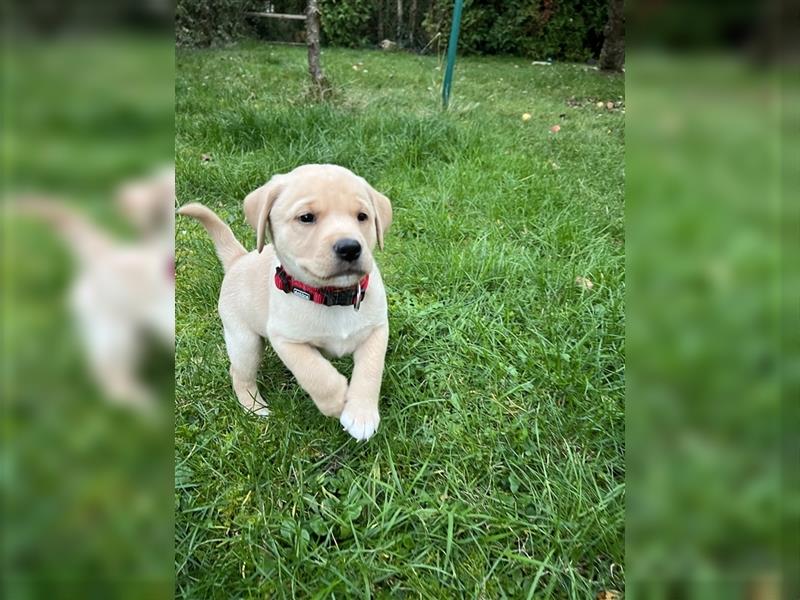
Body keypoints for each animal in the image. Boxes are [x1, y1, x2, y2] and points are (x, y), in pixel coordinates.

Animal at [181, 164, 394, 440]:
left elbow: (370, 370)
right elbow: (314, 372)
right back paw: (254, 408)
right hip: (244, 342)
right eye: (306, 217)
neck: (333, 296)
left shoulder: (377, 329)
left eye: (362, 216)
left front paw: (361, 414)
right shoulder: (286, 339)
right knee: (239, 374)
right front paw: (336, 399)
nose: (350, 248)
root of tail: (238, 259)